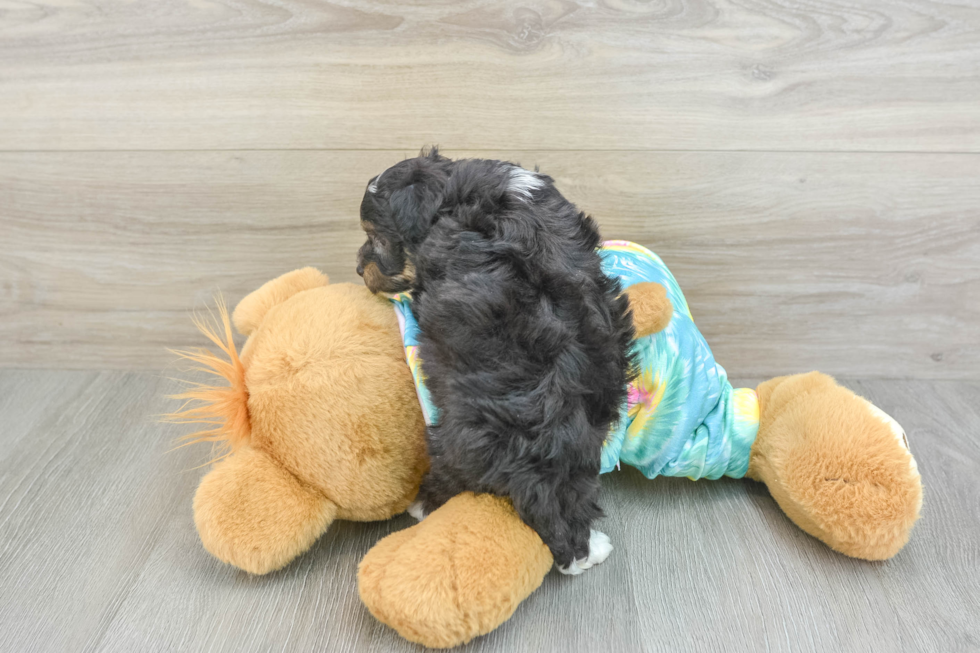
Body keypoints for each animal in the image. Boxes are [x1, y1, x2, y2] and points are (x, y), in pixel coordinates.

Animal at [356, 148, 632, 572]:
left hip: (454, 438)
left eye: (377, 239)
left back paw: (422, 505)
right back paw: (589, 550)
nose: (358, 267)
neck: (455, 191)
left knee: (453, 476)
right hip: (585, 446)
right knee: (574, 503)